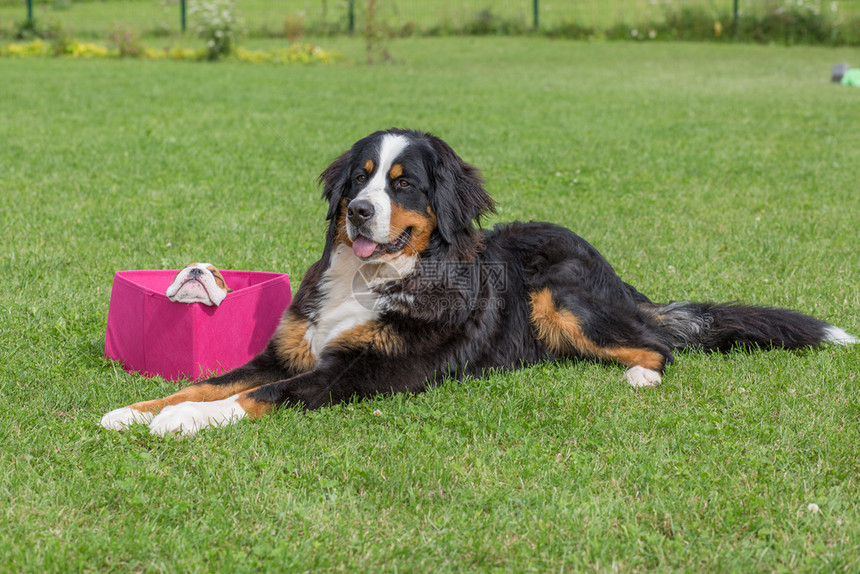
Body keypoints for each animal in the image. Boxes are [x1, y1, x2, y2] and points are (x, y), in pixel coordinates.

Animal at [99, 129, 852, 436]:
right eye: (360, 177)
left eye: (403, 183)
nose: (359, 210)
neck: (369, 278)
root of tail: (613, 269)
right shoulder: (288, 350)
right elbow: (213, 377)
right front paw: (134, 411)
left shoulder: (357, 372)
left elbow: (254, 396)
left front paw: (182, 422)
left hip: (561, 298)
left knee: (660, 346)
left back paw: (640, 374)